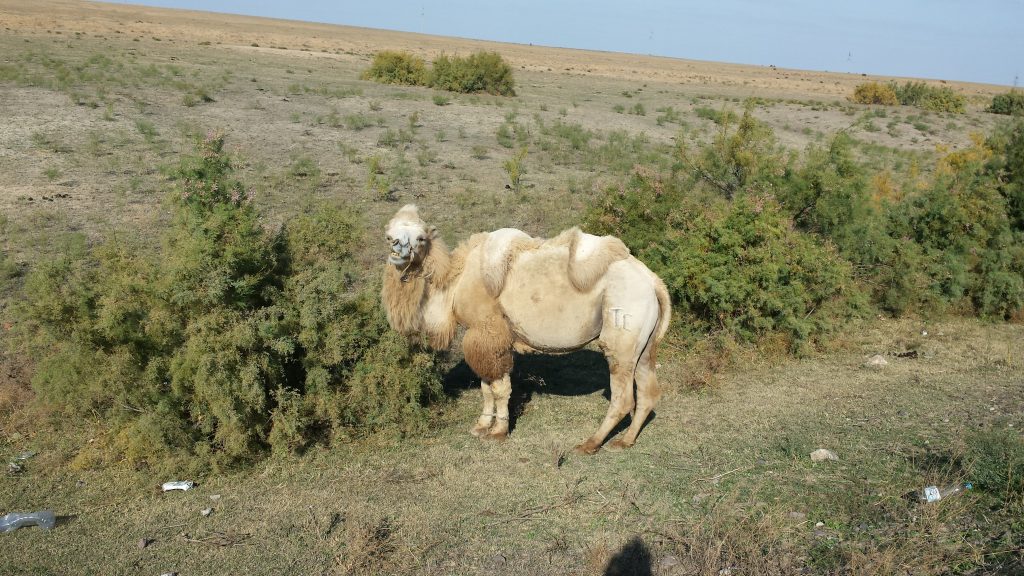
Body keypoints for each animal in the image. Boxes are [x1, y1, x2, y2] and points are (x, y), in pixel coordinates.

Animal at [378, 203, 671, 450]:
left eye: (420, 238)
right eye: (389, 234)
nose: (396, 248)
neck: (455, 280)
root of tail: (653, 281)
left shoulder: (489, 330)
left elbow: (499, 388)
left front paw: (498, 432)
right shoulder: (485, 338)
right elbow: (486, 385)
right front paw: (481, 426)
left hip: (621, 332)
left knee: (623, 397)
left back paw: (590, 444)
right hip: (644, 344)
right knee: (648, 392)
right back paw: (625, 441)